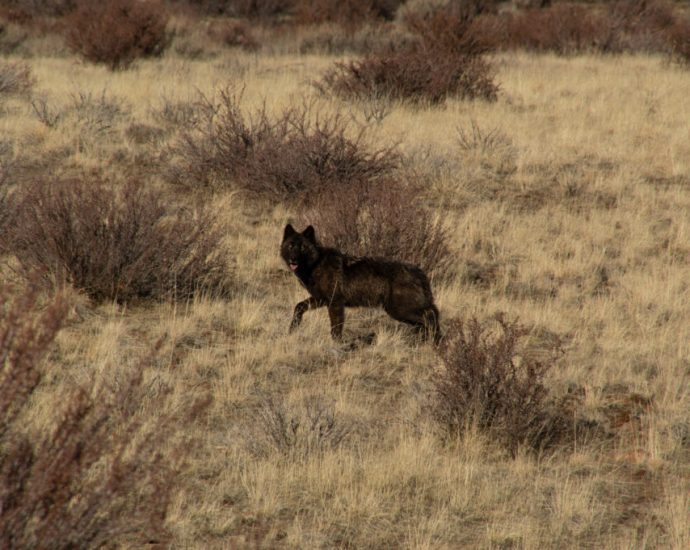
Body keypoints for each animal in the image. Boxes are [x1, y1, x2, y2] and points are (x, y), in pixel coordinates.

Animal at [281, 224, 441, 343]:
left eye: (303, 247)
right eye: (290, 246)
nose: (293, 260)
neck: (316, 264)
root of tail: (419, 272)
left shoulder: (335, 303)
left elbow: (336, 328)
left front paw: (336, 344)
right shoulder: (320, 299)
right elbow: (299, 307)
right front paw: (292, 328)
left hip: (399, 311)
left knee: (430, 316)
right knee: (430, 316)